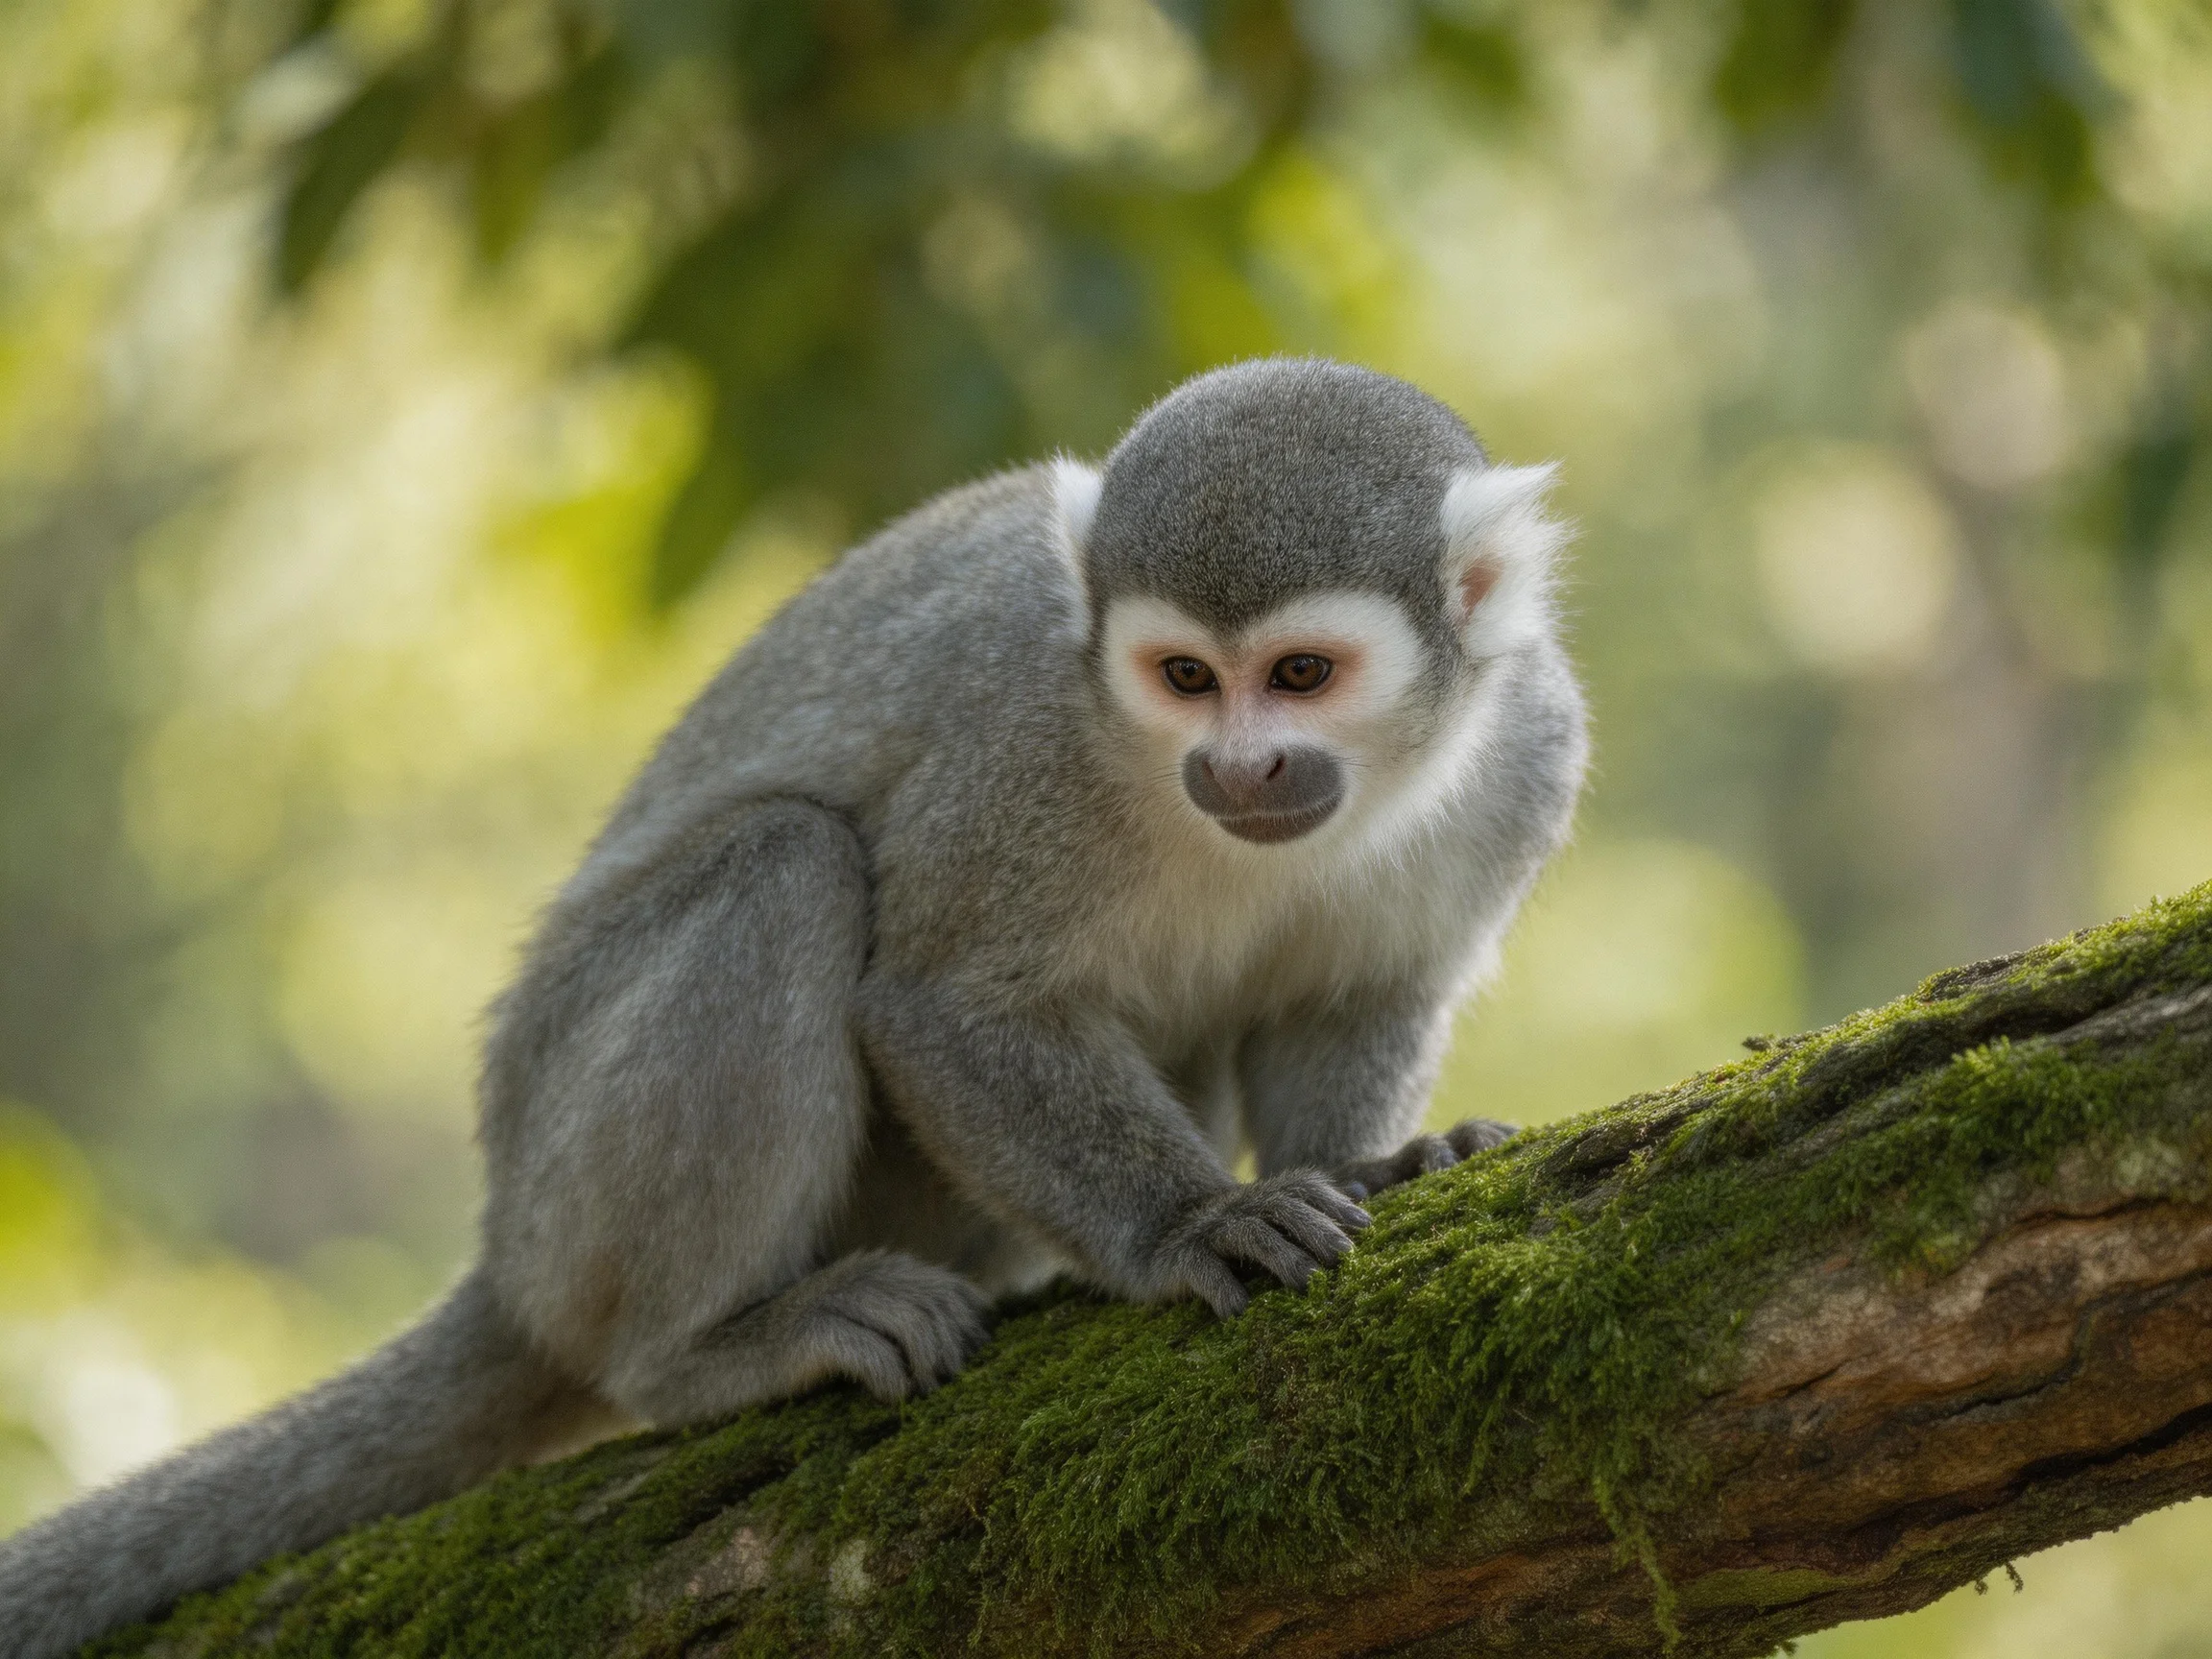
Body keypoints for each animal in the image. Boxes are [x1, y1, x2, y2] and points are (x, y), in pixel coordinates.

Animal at [0, 357, 1587, 1657]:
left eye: (1301, 676)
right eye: (1186, 677)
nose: (1240, 769)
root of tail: (507, 1246)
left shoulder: (1528, 749)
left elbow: (1365, 988)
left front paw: (1380, 1163)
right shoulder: (1032, 742)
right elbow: (938, 999)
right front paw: (1195, 1225)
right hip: (565, 1188)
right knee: (788, 863)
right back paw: (700, 1353)